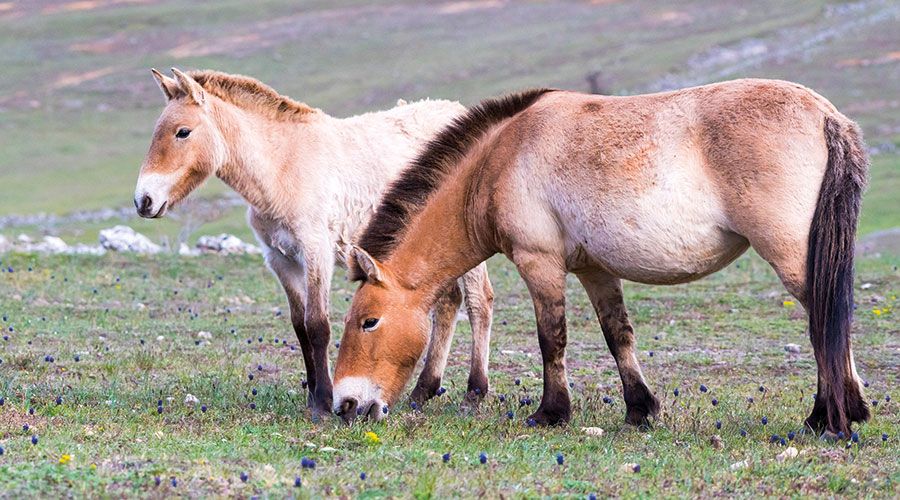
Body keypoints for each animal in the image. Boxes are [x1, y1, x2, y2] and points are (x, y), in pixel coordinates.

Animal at [133, 68, 495, 419]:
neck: (283, 166)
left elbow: (317, 324)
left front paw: (323, 402)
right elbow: (299, 325)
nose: (143, 201)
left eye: (182, 132)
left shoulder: (315, 251)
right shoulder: (281, 259)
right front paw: (312, 399)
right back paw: (422, 392)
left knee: (479, 302)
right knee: (448, 301)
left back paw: (473, 395)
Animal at [332, 79, 871, 438]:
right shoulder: (595, 270)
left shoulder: (540, 262)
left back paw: (829, 418)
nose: (345, 403)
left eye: (368, 321)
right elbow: (618, 336)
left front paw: (551, 413)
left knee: (825, 319)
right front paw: (640, 409)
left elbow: (552, 338)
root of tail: (827, 115)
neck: (500, 158)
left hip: (793, 257)